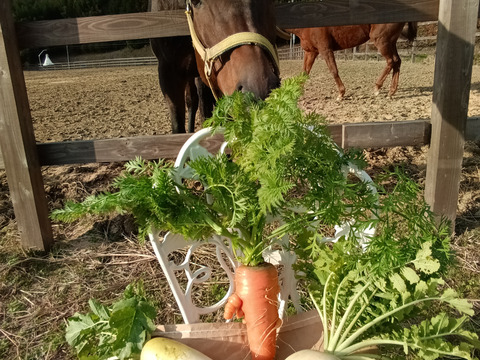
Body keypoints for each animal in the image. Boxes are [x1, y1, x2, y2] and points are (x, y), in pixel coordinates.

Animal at [286, 22, 418, 99]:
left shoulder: (325, 49)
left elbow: (334, 70)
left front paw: (341, 93)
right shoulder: (311, 52)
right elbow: (304, 73)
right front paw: (296, 92)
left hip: (382, 41)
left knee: (391, 61)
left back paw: (377, 88)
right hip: (391, 42)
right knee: (397, 61)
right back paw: (391, 91)